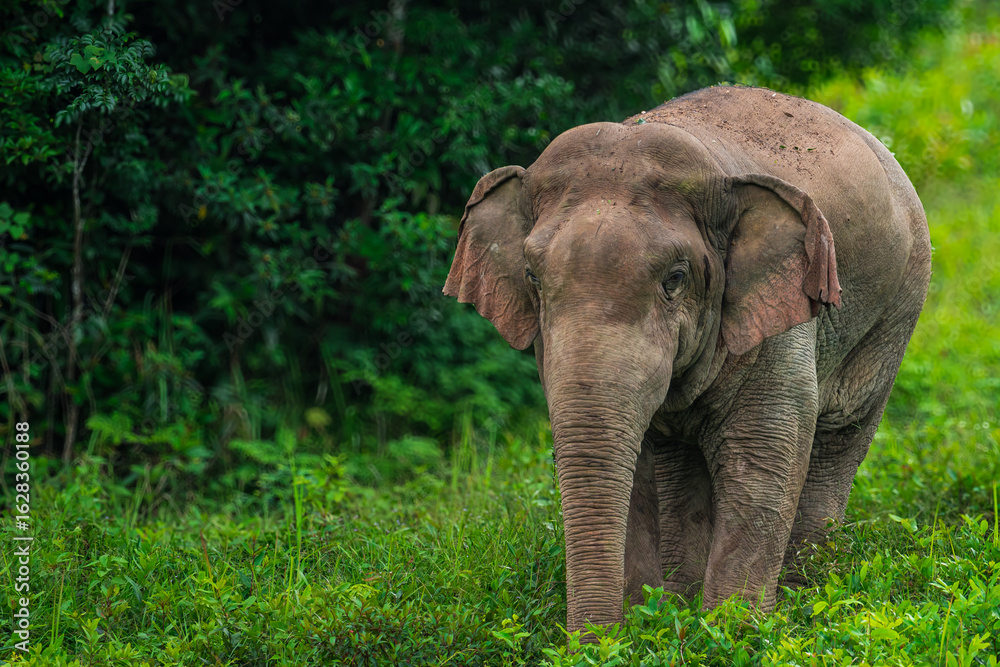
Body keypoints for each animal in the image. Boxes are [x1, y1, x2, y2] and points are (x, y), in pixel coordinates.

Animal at [443, 85, 931, 635]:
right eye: (531, 277)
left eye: (675, 279)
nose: (585, 644)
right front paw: (647, 626)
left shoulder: (780, 320)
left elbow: (765, 453)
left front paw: (735, 632)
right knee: (680, 462)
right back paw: (684, 596)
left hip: (898, 308)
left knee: (840, 437)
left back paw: (804, 595)